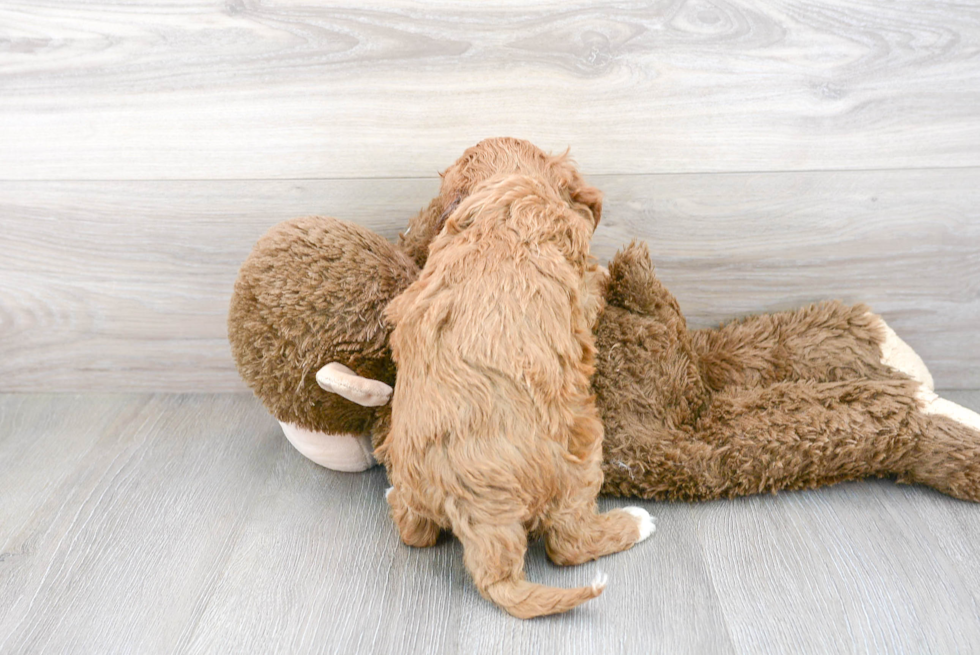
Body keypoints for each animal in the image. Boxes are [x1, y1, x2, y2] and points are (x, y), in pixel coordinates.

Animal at [378, 172, 656, 616]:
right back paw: (635, 522)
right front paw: (604, 272)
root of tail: (474, 508)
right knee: (568, 544)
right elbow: (591, 286)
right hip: (580, 445)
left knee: (413, 532)